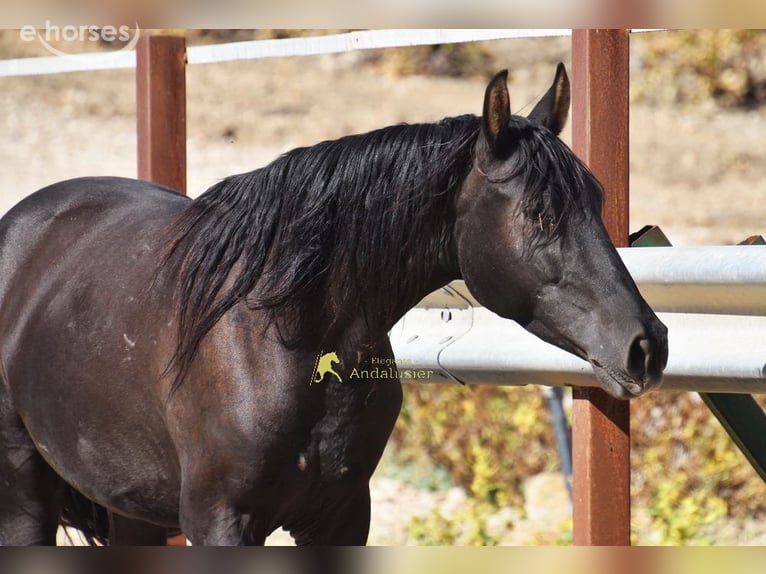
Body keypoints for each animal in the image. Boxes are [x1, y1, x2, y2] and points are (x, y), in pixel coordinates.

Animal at [0, 63, 667, 546]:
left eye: (597, 201)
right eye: (539, 215)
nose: (647, 346)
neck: (280, 337)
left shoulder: (341, 517)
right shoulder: (219, 523)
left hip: (132, 509)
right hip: (25, 495)